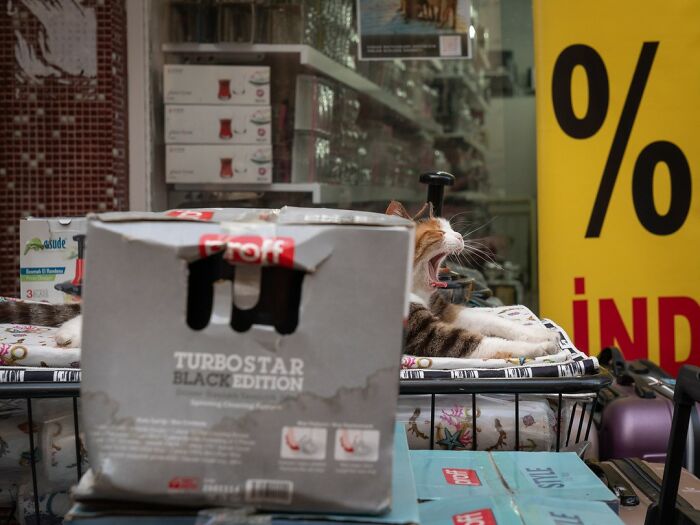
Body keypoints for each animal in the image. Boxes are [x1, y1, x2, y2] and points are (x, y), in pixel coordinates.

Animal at [388, 202, 564, 360]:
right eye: (439, 232)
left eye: (451, 228)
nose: (460, 236)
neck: (418, 289)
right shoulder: (425, 334)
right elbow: (483, 343)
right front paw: (541, 347)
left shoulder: (445, 309)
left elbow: (494, 320)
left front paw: (543, 334)